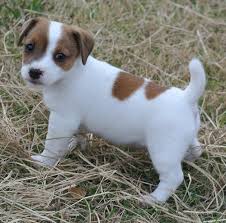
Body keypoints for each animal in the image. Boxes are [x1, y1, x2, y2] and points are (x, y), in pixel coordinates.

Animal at [18, 16, 206, 203]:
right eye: (29, 47)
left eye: (60, 56)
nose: (34, 72)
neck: (72, 72)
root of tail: (186, 98)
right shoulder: (73, 123)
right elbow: (78, 135)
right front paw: (74, 145)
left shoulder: (61, 121)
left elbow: (52, 145)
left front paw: (43, 161)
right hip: (181, 142)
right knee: (197, 149)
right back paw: (188, 157)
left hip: (163, 152)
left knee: (173, 177)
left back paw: (153, 199)